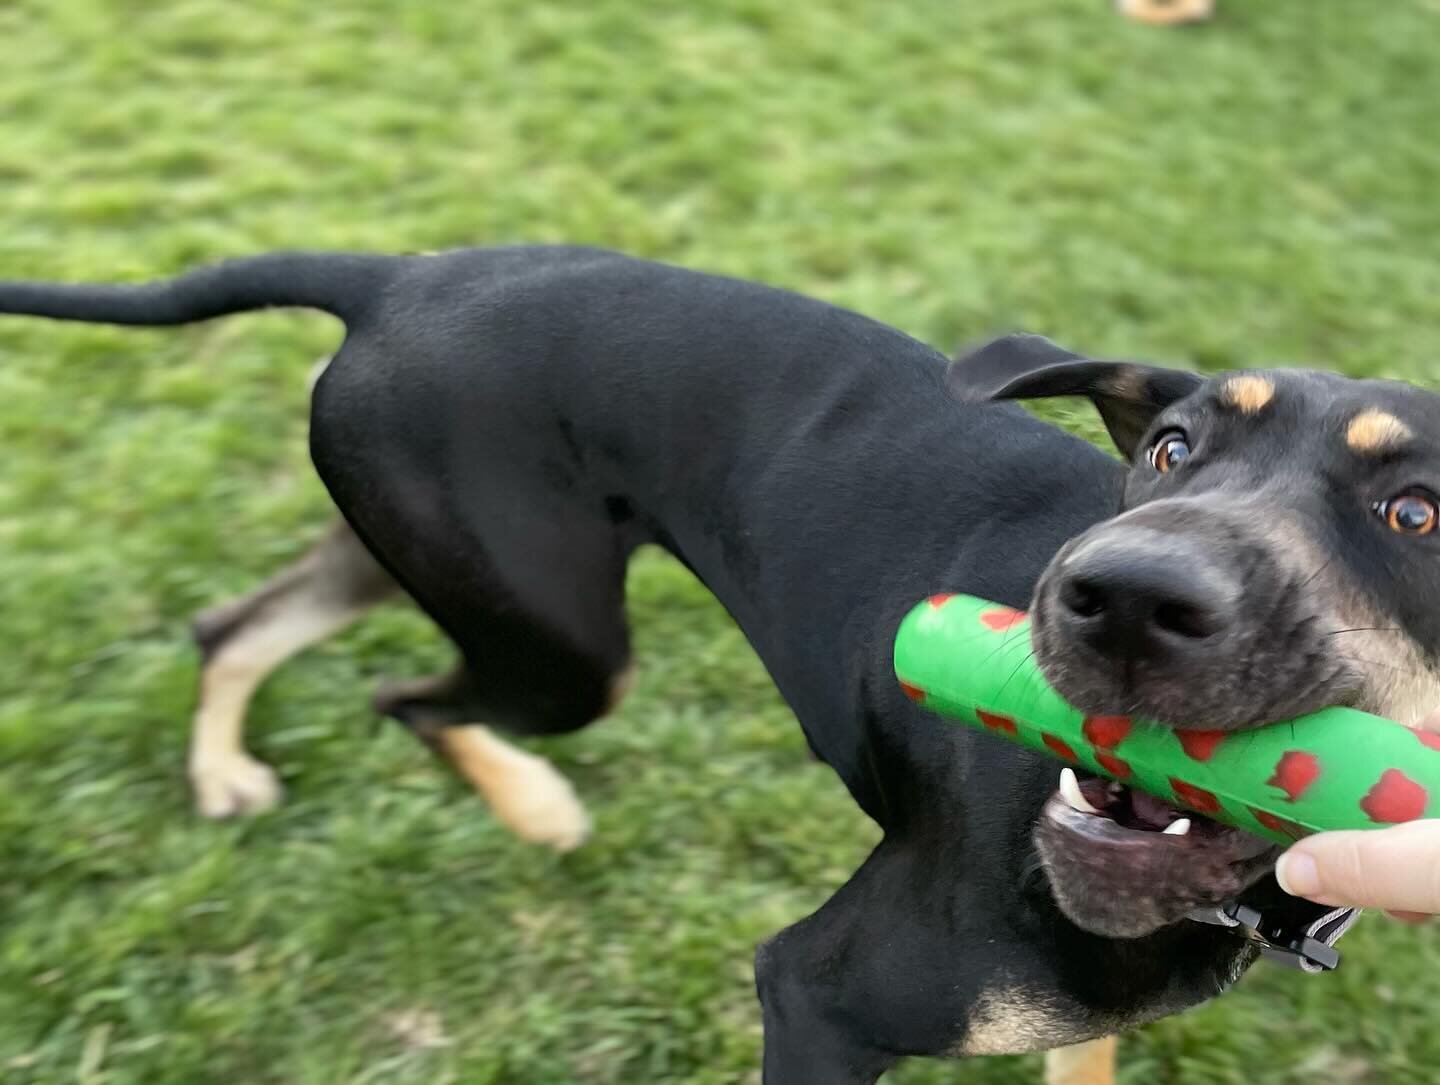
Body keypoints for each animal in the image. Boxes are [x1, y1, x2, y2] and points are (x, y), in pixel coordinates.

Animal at [2, 249, 1440, 1077]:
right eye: (1172, 448)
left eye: (1418, 512)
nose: (1116, 595)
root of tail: (404, 274)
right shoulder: (815, 997)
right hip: (557, 646)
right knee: (401, 695)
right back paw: (529, 799)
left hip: (420, 542)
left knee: (241, 627)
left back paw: (226, 771)